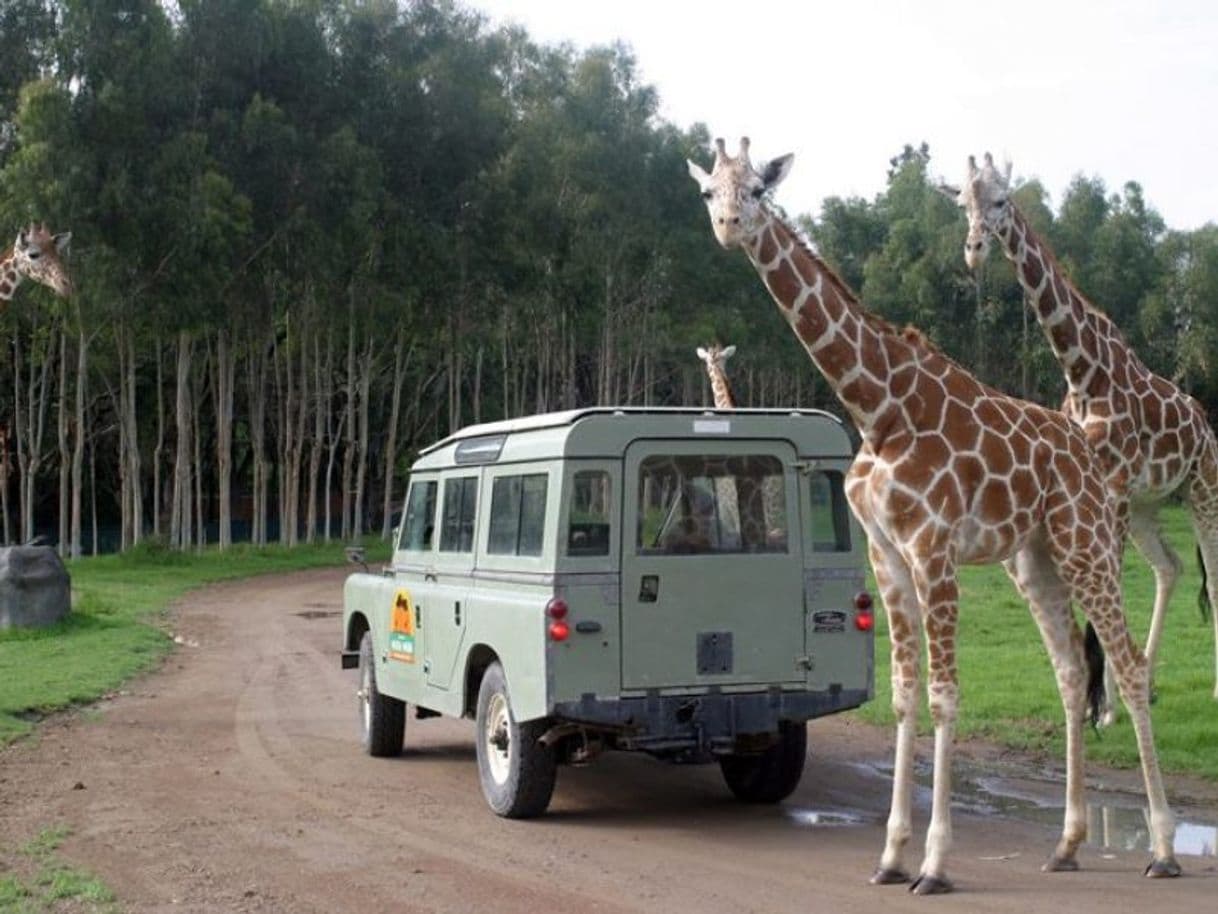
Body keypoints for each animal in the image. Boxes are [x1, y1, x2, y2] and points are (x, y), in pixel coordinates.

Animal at [691, 137, 1174, 896]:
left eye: (759, 190)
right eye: (711, 191)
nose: (730, 226)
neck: (877, 405)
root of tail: (1089, 454)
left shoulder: (934, 549)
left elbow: (945, 695)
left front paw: (936, 863)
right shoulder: (887, 555)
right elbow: (904, 693)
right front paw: (890, 856)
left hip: (1086, 541)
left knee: (1125, 666)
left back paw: (1161, 847)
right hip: (1033, 560)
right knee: (1071, 670)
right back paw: (1066, 845)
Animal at [945, 154, 1218, 721]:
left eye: (1001, 200)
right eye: (963, 202)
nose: (975, 250)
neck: (1081, 372)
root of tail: (1203, 419)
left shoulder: (1113, 487)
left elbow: (1107, 586)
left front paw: (1106, 706)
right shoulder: (1097, 489)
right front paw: (1105, 703)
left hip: (1203, 485)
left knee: (1214, 571)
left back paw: (1213, 690)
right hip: (1147, 505)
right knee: (1170, 567)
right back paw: (1148, 681)